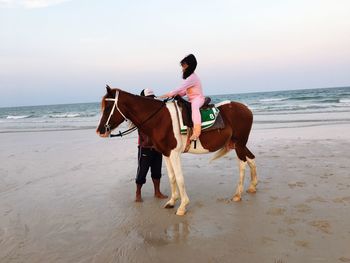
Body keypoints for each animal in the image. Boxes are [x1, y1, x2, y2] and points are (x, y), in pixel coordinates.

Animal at [95, 86, 258, 217]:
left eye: (108, 107)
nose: (100, 131)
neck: (160, 119)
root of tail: (246, 109)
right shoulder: (166, 154)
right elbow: (172, 177)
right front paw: (172, 201)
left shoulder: (174, 154)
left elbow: (179, 178)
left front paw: (182, 206)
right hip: (239, 144)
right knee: (251, 158)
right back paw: (252, 187)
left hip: (239, 144)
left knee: (242, 164)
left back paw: (238, 194)